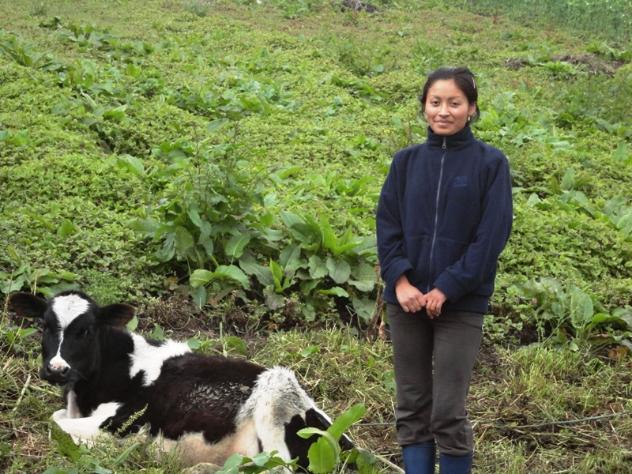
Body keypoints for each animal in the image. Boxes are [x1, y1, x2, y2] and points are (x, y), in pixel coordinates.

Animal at [9, 290, 353, 468]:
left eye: (86, 330)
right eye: (44, 325)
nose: (57, 369)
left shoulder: (118, 425)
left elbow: (56, 425)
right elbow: (57, 417)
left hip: (278, 392)